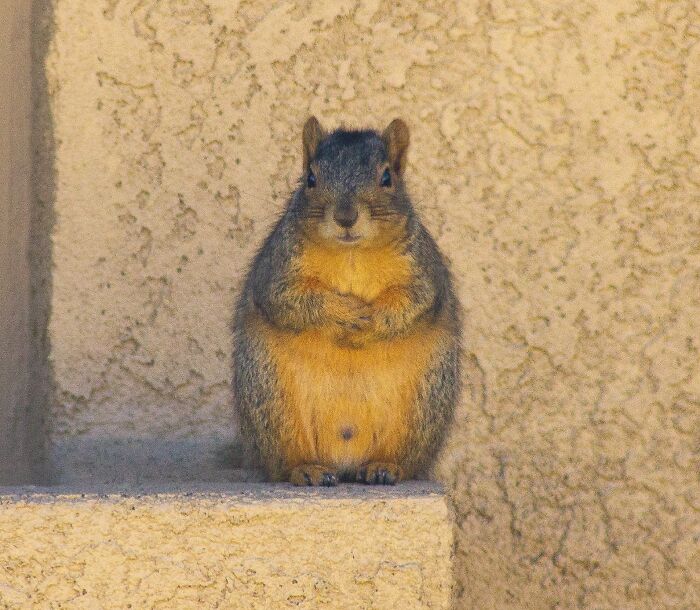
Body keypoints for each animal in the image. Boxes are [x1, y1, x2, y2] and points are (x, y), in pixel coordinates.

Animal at [232, 116, 462, 482]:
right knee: (285, 461)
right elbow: (290, 300)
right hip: (269, 395)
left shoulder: (425, 272)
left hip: (424, 400)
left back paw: (384, 467)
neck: (351, 254)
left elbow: (415, 301)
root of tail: (344, 459)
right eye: (311, 178)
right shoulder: (277, 270)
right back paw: (307, 470)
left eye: (387, 177)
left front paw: (373, 322)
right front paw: (345, 312)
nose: (345, 217)